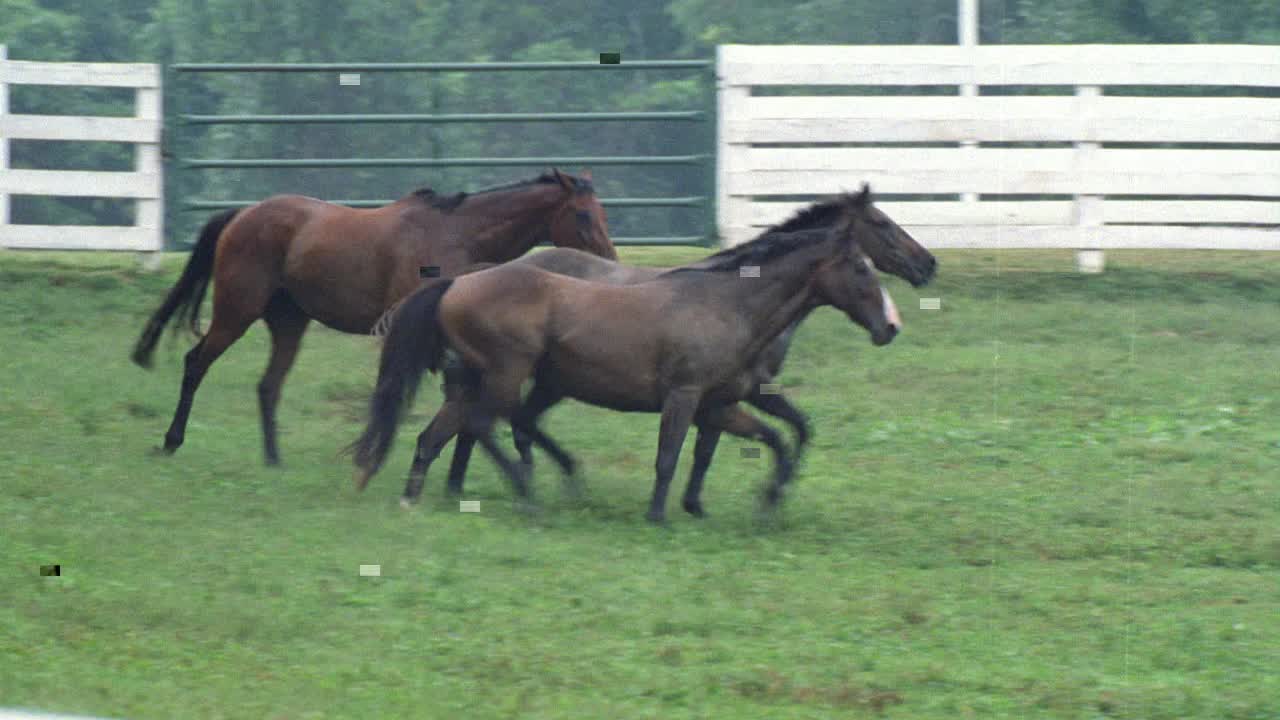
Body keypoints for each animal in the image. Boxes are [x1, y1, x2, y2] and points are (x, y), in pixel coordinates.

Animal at [129, 167, 614, 461]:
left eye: (602, 212)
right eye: (583, 214)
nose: (610, 260)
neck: (457, 235)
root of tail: (240, 215)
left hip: (289, 322)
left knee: (268, 386)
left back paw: (274, 460)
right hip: (236, 312)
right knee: (196, 363)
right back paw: (172, 441)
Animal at [350, 184, 906, 520]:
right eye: (862, 265)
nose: (891, 326)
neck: (727, 304)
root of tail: (457, 283)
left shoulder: (719, 404)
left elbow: (773, 439)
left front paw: (767, 500)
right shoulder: (684, 396)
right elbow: (670, 456)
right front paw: (660, 515)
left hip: (483, 380)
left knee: (442, 434)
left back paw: (419, 496)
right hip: (507, 374)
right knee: (488, 426)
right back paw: (528, 492)